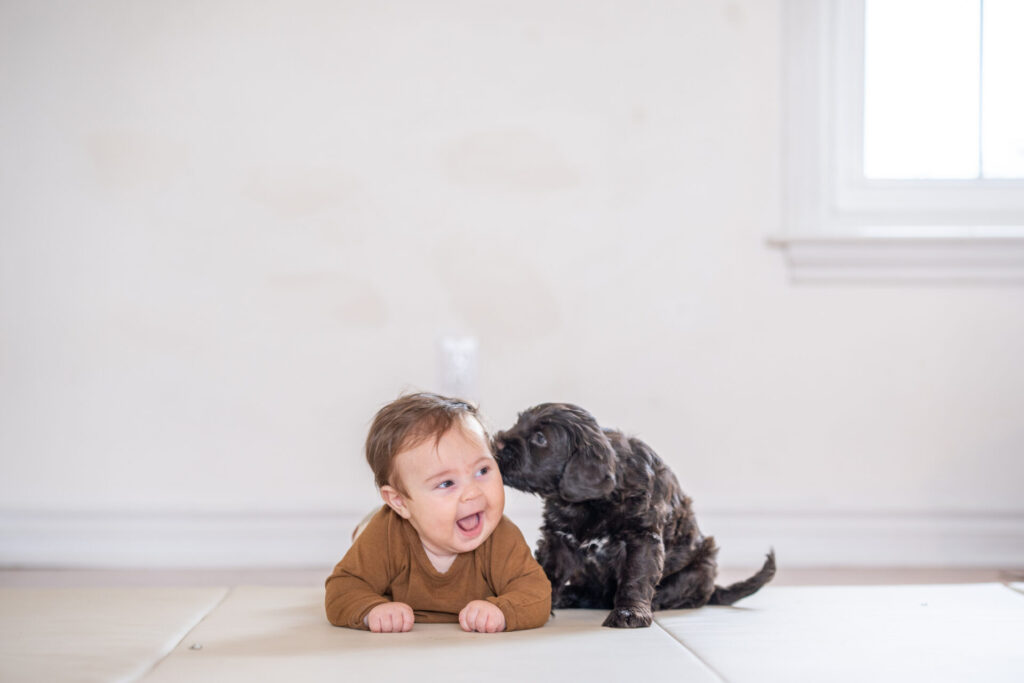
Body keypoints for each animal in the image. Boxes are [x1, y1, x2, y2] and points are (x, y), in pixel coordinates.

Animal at [491, 401, 770, 630]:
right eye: (518, 423)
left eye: (540, 438)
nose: (496, 442)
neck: (591, 503)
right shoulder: (558, 539)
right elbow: (547, 572)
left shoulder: (641, 537)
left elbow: (635, 577)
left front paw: (630, 613)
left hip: (699, 569)